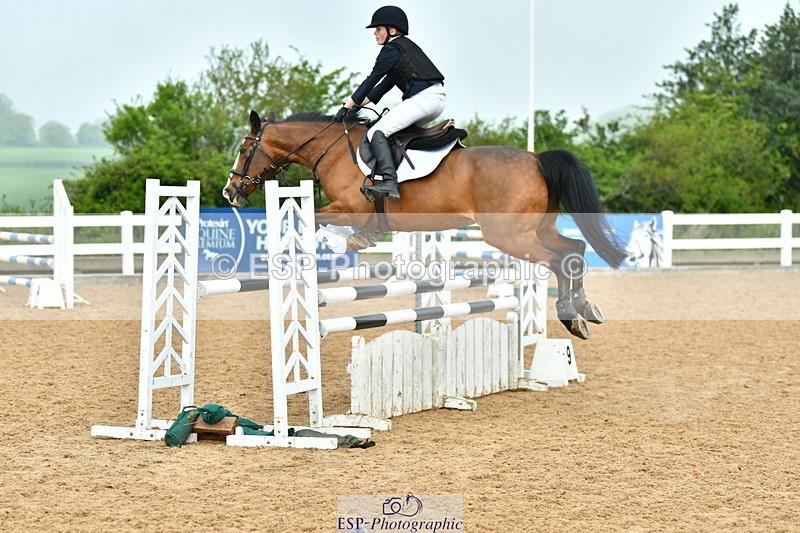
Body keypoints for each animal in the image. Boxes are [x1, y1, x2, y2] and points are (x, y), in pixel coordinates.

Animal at [223, 110, 627, 339]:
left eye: (243, 149)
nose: (231, 191)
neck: (333, 149)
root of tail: (536, 159)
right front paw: (358, 241)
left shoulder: (351, 207)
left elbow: (316, 219)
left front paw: (346, 242)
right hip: (536, 230)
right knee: (574, 250)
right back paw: (585, 310)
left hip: (509, 236)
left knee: (559, 259)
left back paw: (571, 318)